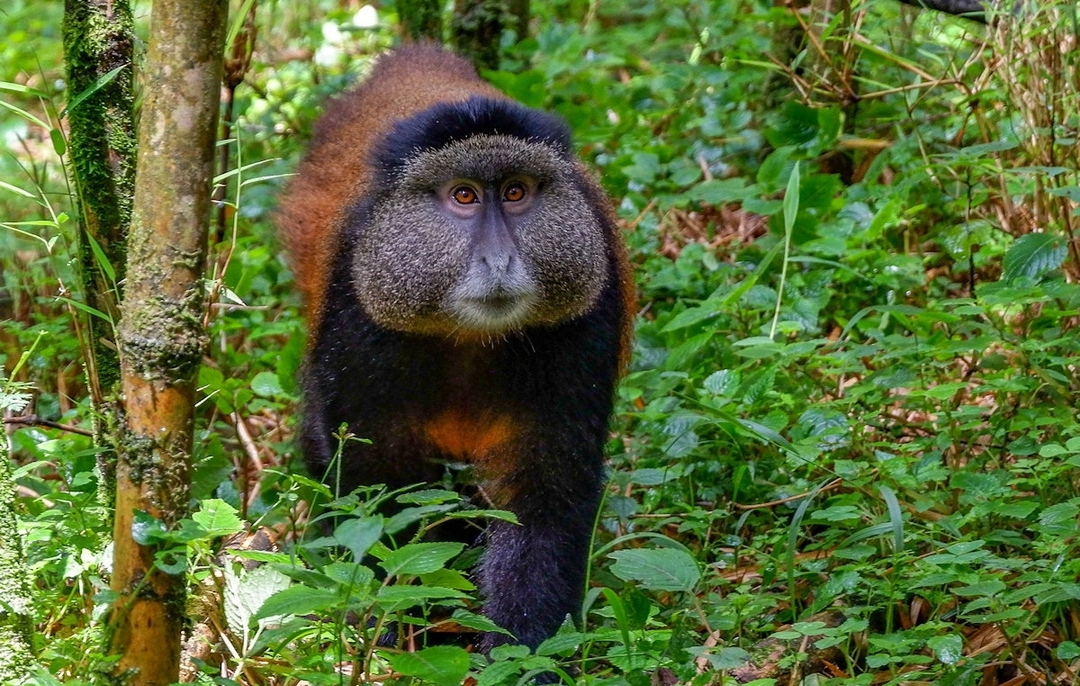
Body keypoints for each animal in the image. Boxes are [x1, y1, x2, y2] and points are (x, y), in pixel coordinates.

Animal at [277, 44, 635, 655]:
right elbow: (374, 482)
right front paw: (395, 628)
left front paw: (525, 653)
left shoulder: (590, 314)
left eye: (515, 192)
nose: (499, 260)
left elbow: (546, 488)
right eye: (463, 195)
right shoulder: (357, 311)